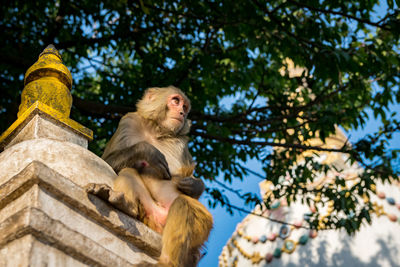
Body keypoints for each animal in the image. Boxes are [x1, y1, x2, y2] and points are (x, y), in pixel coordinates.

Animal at [86, 87, 214, 266]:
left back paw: (167, 262)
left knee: (185, 205)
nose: (182, 113)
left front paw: (195, 185)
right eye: (176, 101)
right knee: (127, 171)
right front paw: (147, 151)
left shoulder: (181, 144)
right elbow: (107, 161)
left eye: (185, 107)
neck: (156, 130)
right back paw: (125, 204)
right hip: (149, 214)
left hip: (203, 224)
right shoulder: (128, 122)